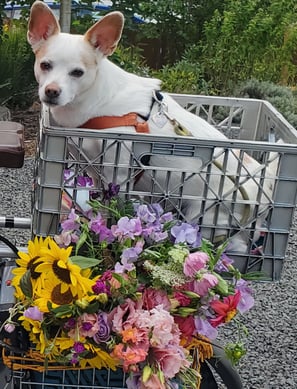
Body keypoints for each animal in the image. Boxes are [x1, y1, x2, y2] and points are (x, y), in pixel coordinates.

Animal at [27, 1, 276, 252]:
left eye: (78, 73)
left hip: (209, 218)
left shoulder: (118, 174)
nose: (51, 91)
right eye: (45, 65)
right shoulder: (98, 173)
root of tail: (266, 189)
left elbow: (112, 211)